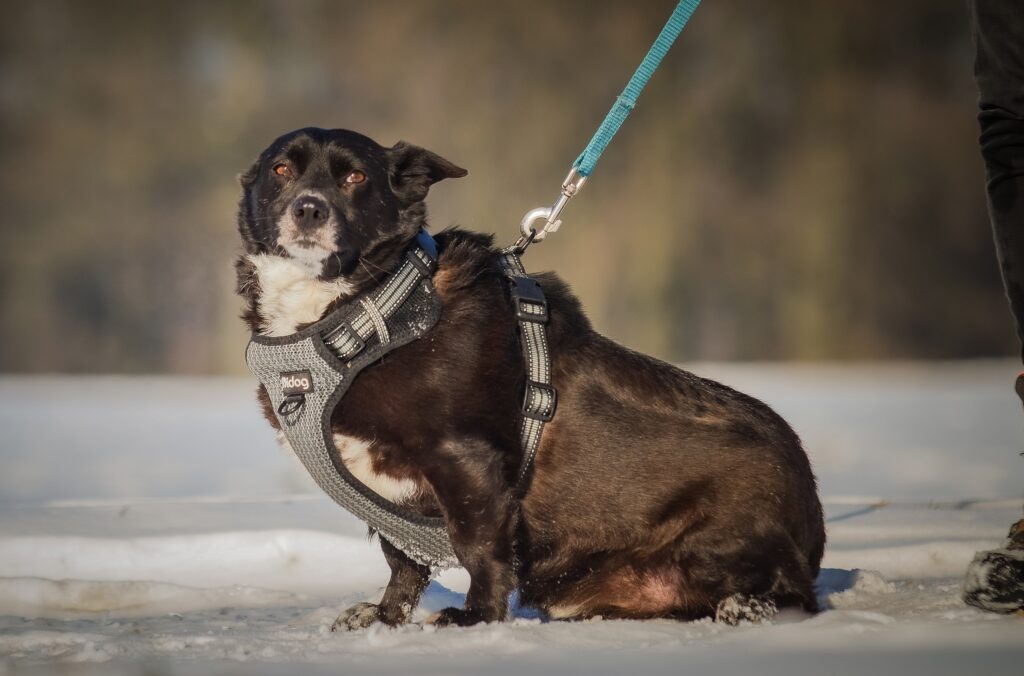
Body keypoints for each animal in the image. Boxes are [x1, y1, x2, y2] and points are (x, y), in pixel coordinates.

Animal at [235, 128, 827, 626]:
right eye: (282, 169)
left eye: (355, 177)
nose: (309, 209)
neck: (368, 310)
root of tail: (813, 525)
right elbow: (402, 560)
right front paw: (385, 619)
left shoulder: (465, 462)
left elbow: (479, 549)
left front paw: (475, 619)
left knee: (791, 595)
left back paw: (744, 607)